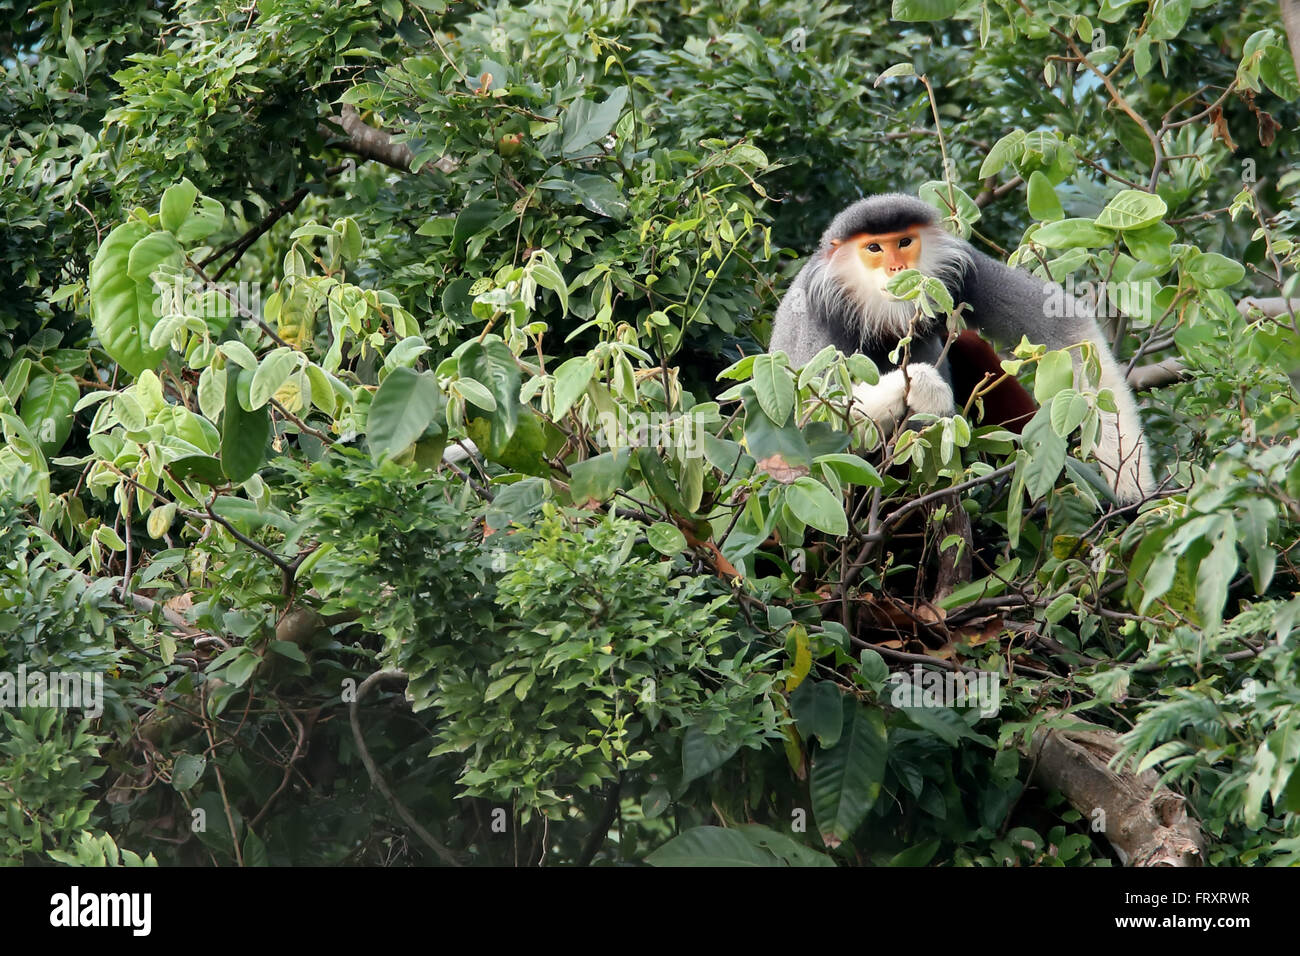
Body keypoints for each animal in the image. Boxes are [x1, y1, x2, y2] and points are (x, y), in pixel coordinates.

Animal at [764, 196, 1154, 509]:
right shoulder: (812, 312)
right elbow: (805, 432)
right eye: (874, 249)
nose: (897, 268)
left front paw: (1131, 485)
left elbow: (1066, 328)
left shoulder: (966, 268)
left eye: (904, 242)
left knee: (968, 343)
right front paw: (926, 388)